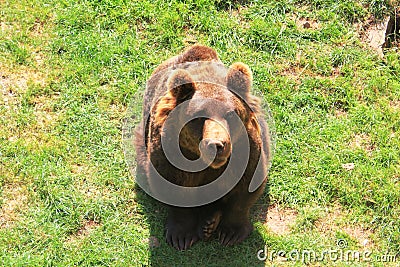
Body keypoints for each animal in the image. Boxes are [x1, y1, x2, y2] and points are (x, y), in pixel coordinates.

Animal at [135, 44, 272, 251]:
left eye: (230, 114)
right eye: (199, 116)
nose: (217, 144)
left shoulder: (246, 153)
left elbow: (245, 191)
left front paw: (231, 232)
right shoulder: (171, 157)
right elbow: (173, 190)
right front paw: (181, 235)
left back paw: (210, 221)